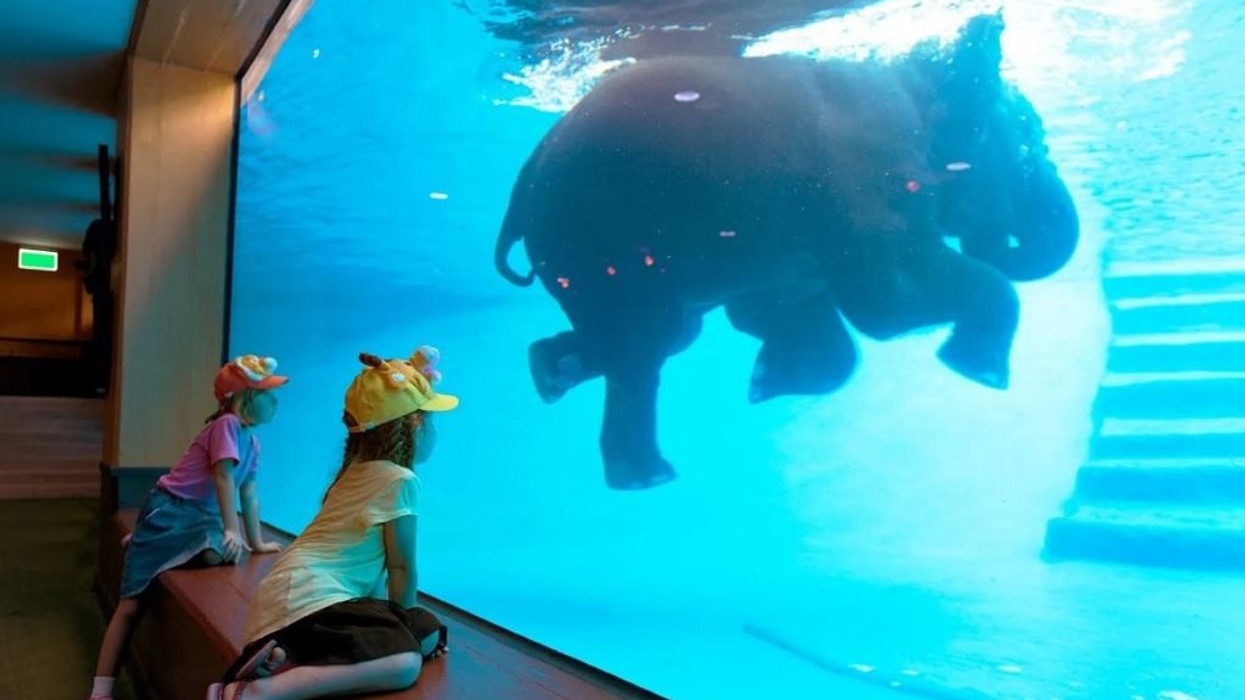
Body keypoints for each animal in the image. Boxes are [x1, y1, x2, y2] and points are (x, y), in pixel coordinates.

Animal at [493, 13, 1080, 490]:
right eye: (1031, 136)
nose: (1003, 236)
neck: (916, 82)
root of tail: (523, 178)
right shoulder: (872, 183)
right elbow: (889, 303)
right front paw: (978, 370)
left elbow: (786, 307)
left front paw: (767, 383)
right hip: (600, 237)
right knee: (645, 346)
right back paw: (645, 476)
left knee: (666, 336)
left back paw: (550, 370)